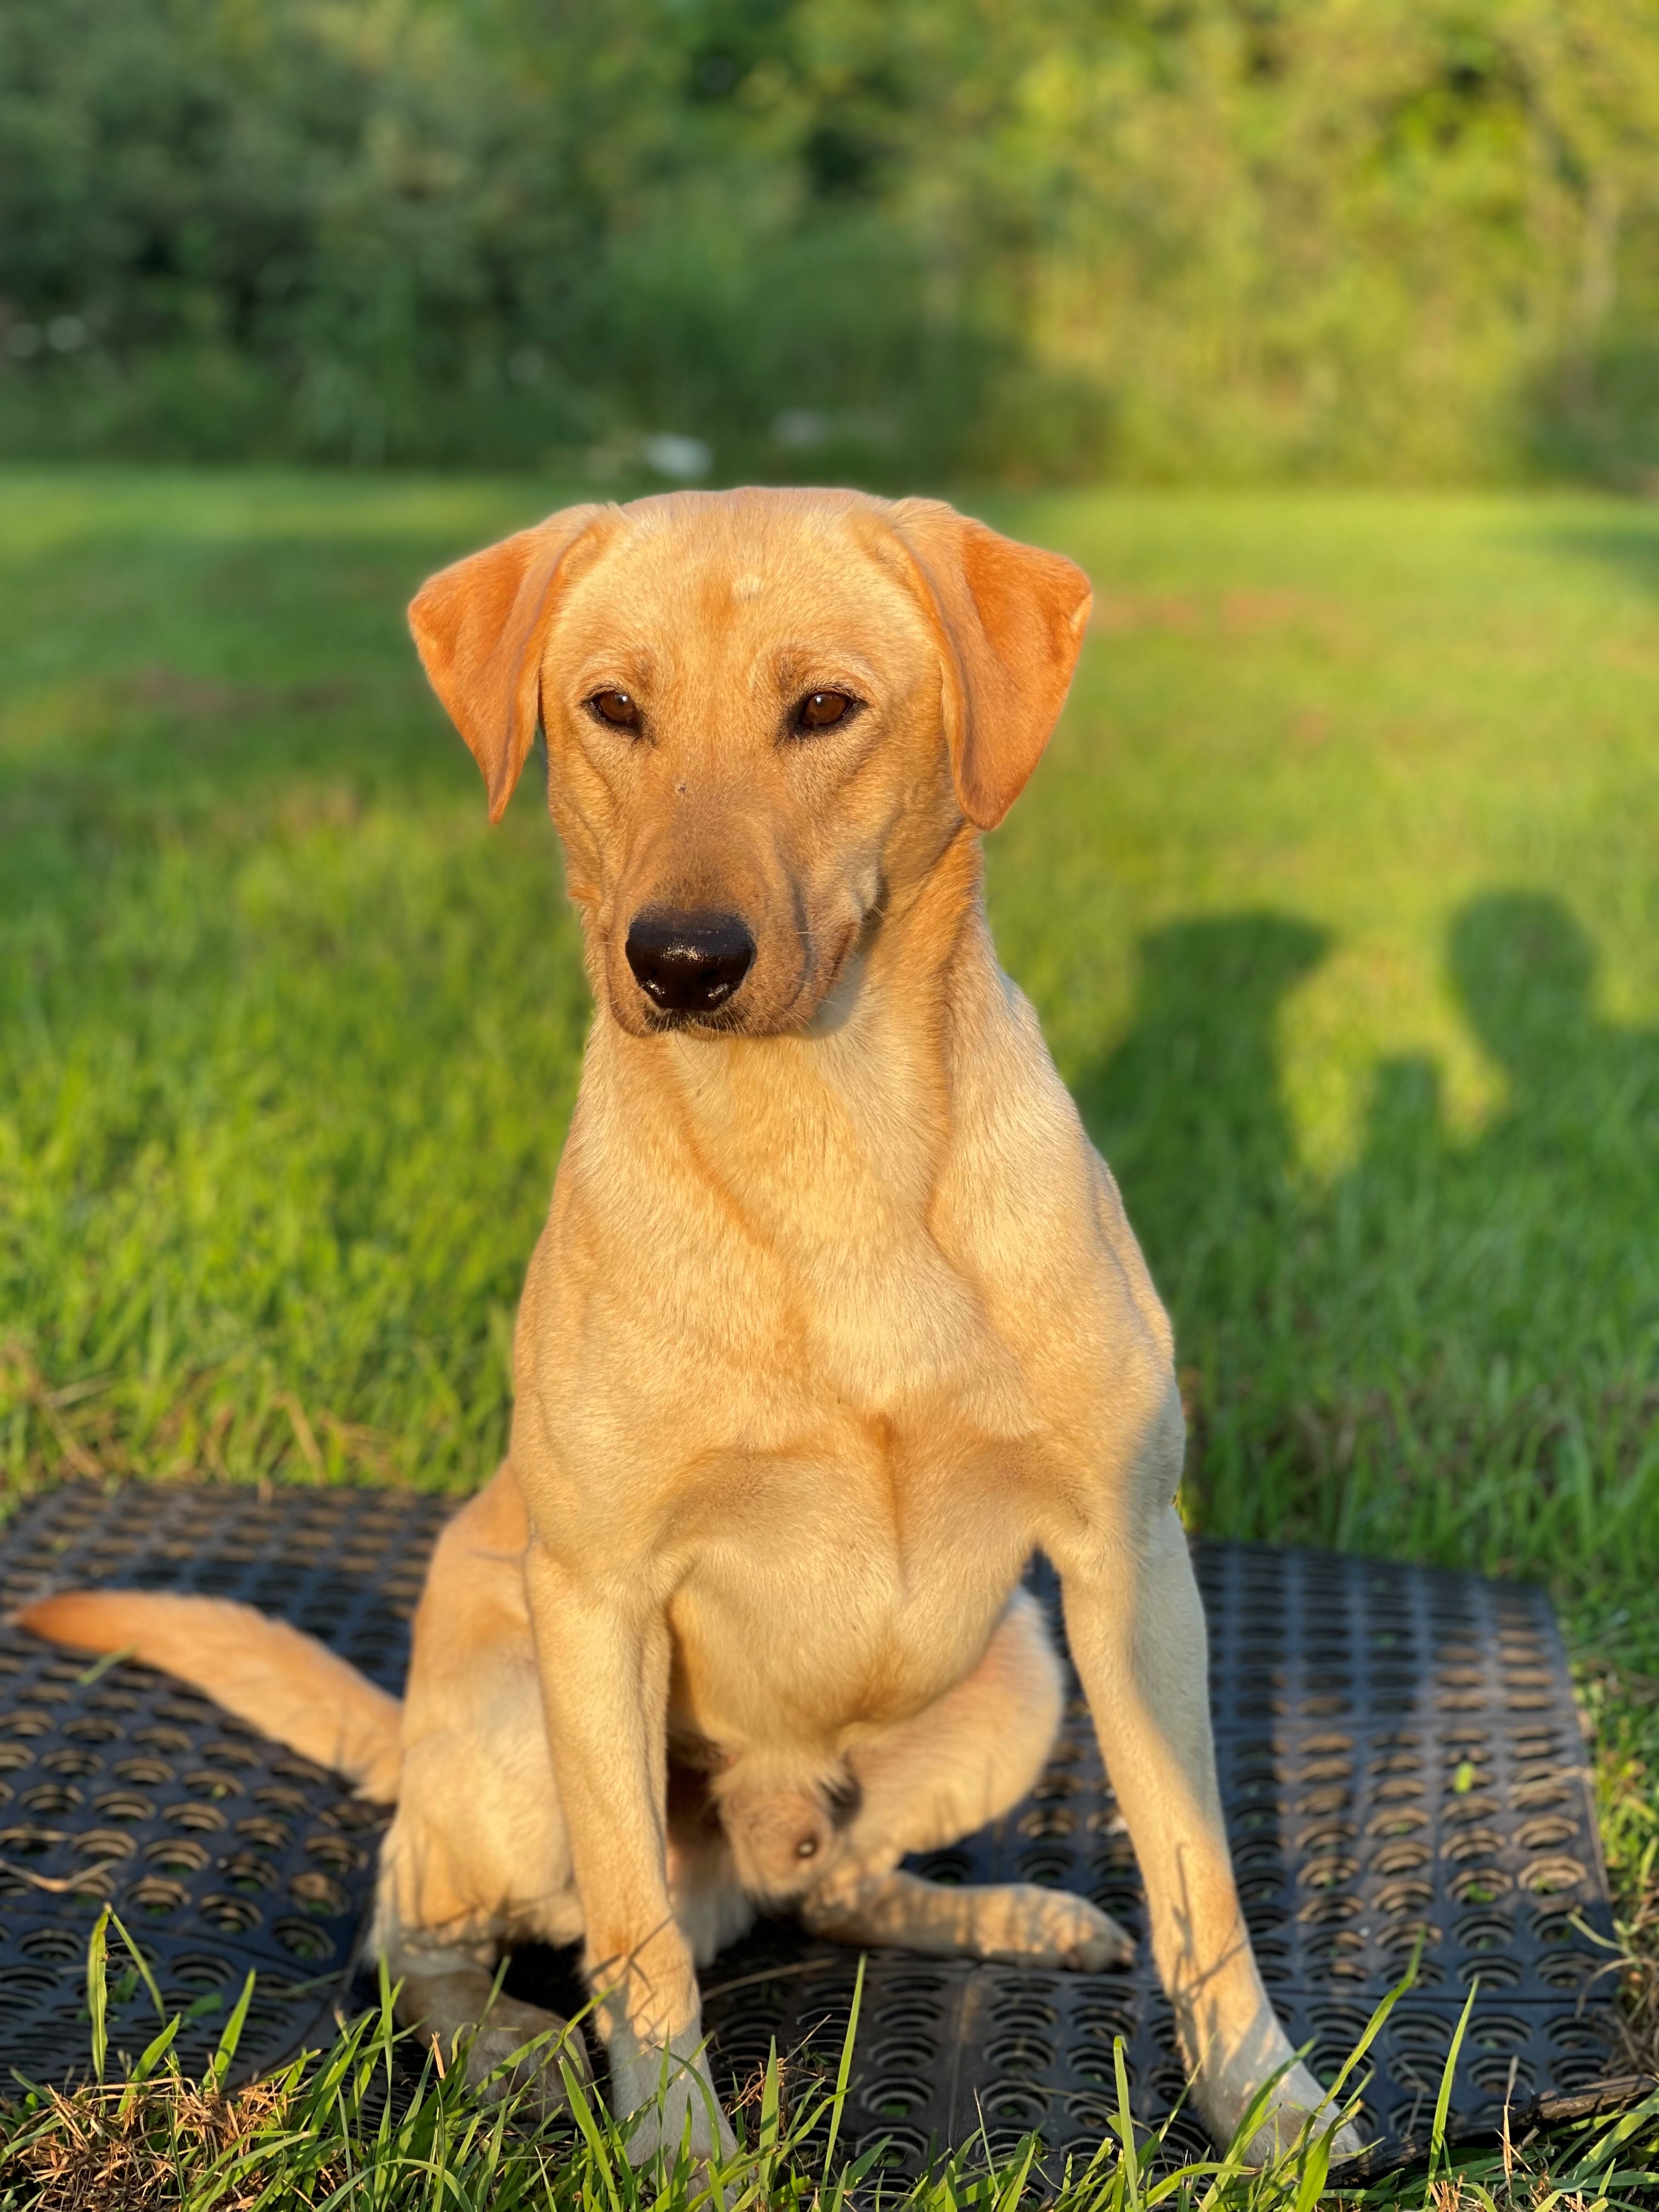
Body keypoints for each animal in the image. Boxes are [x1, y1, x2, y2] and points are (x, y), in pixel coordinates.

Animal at [19, 493, 1353, 2168]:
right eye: (613, 709)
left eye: (827, 708)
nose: (682, 959)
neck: (827, 1140)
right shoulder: (599, 1598)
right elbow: (633, 1940)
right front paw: (675, 2154)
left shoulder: (1130, 1561)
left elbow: (1199, 1874)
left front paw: (1270, 2104)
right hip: (523, 1729)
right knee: (426, 1933)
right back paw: (516, 2049)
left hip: (1022, 1668)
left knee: (838, 1886)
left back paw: (1006, 1917)